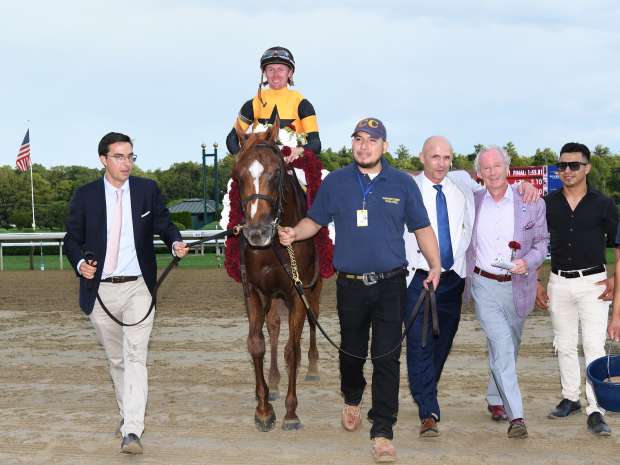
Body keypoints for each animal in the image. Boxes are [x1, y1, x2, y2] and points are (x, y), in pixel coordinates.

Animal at [231, 119, 322, 432]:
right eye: (238, 174)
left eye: (276, 172)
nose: (257, 233)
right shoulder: (254, 291)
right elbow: (257, 343)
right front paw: (263, 410)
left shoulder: (297, 291)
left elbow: (292, 349)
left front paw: (291, 413)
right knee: (273, 326)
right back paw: (273, 380)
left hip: (314, 286)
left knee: (312, 320)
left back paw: (313, 366)